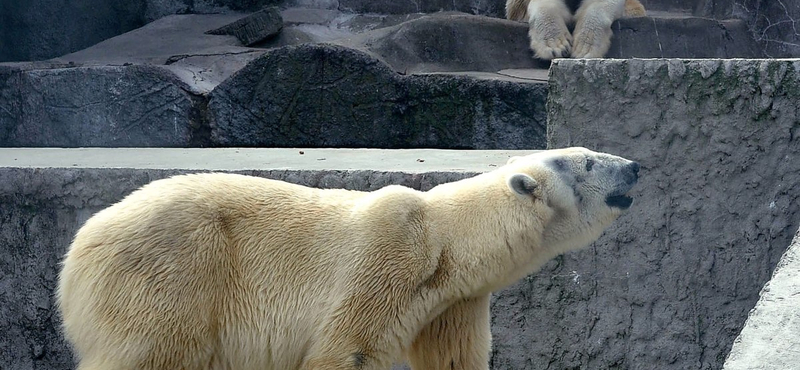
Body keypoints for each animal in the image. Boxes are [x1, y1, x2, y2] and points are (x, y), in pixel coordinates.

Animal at [57, 147, 636, 370]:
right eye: (587, 161)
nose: (634, 167)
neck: (445, 240)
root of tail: (76, 255)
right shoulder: (386, 261)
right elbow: (346, 349)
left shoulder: (454, 302)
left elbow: (452, 358)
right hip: (173, 274)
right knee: (152, 351)